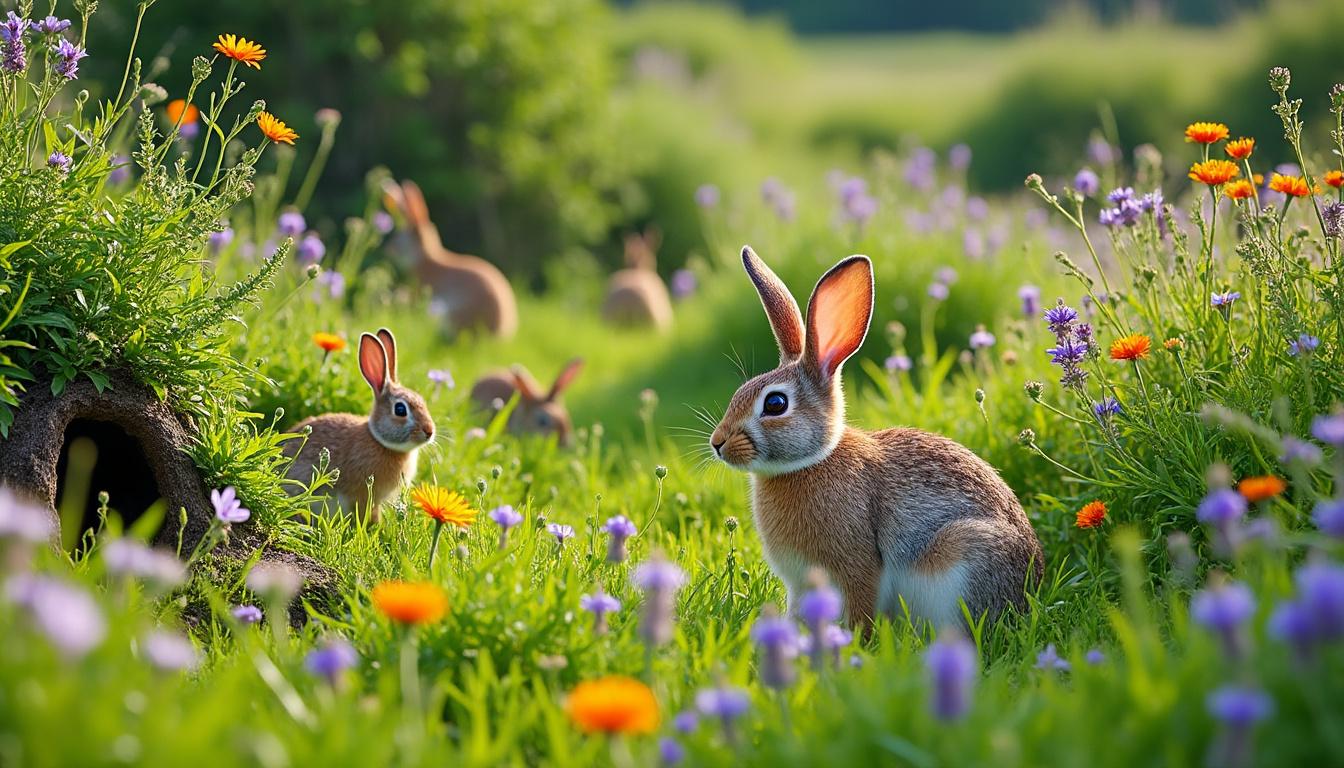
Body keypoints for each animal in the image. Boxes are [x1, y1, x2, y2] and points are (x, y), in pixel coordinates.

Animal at [708, 246, 1043, 630]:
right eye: (739, 393)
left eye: (775, 404)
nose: (717, 443)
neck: (811, 461)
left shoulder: (858, 566)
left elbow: (861, 605)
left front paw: (854, 641)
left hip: (961, 552)